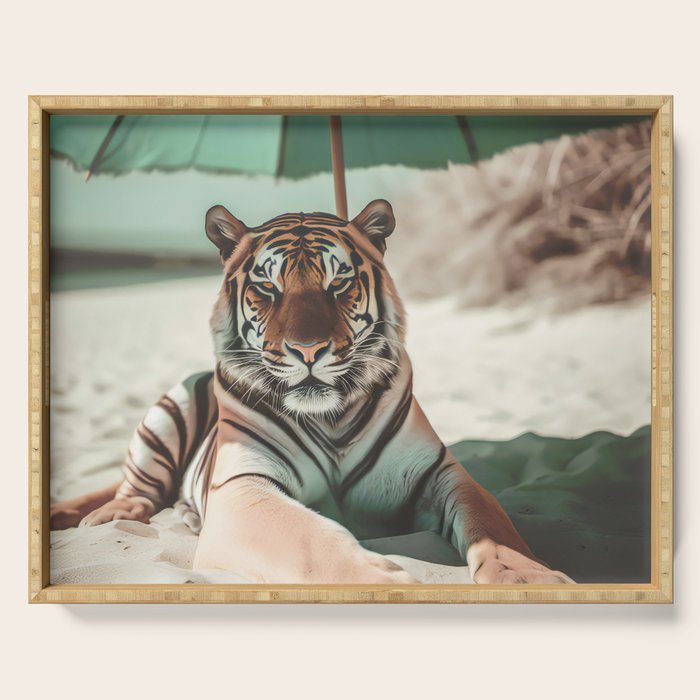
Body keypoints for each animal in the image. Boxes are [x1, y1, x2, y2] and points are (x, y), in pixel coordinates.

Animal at [51, 199, 573, 584]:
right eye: (267, 286)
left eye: (338, 283)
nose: (308, 350)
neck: (330, 417)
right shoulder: (244, 484)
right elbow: (306, 541)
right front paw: (380, 583)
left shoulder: (441, 474)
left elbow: (492, 524)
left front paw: (529, 579)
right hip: (165, 415)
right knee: (135, 487)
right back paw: (110, 515)